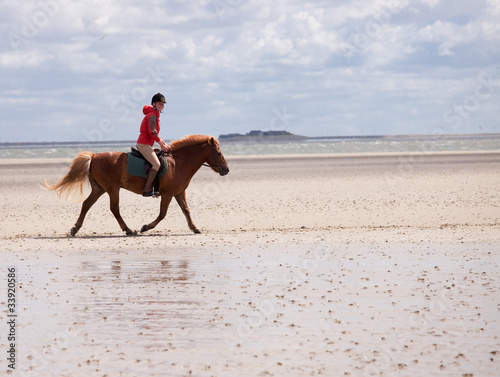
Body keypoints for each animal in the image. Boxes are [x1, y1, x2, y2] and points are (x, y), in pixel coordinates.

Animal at [45, 134, 229, 235]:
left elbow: (186, 210)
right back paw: (128, 230)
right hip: (112, 189)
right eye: (219, 152)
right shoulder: (168, 194)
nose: (226, 169)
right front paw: (146, 227)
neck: (179, 163)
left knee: (86, 204)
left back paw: (75, 229)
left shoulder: (179, 192)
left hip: (99, 189)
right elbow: (162, 214)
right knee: (114, 209)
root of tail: (95, 156)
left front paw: (195, 228)